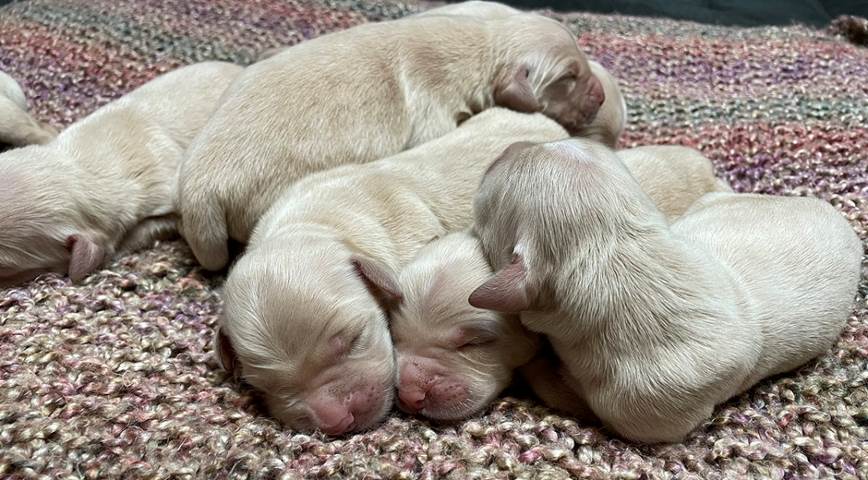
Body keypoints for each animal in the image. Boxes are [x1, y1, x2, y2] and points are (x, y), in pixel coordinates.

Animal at [468, 138, 860, 442]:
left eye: (487, 199)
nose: (510, 145)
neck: (616, 254)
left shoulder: (644, 412)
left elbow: (563, 389)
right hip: (717, 203)